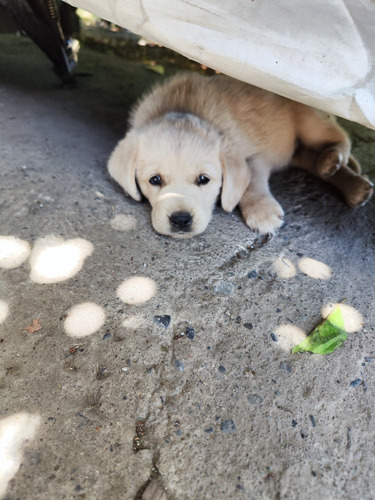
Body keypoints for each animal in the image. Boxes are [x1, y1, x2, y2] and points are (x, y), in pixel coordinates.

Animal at [108, 71, 374, 240]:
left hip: (310, 122)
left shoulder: (255, 156)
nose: (181, 220)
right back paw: (350, 183)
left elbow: (252, 183)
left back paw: (334, 158)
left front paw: (262, 212)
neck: (182, 106)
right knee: (312, 161)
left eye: (204, 179)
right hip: (298, 149)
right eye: (154, 180)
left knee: (340, 137)